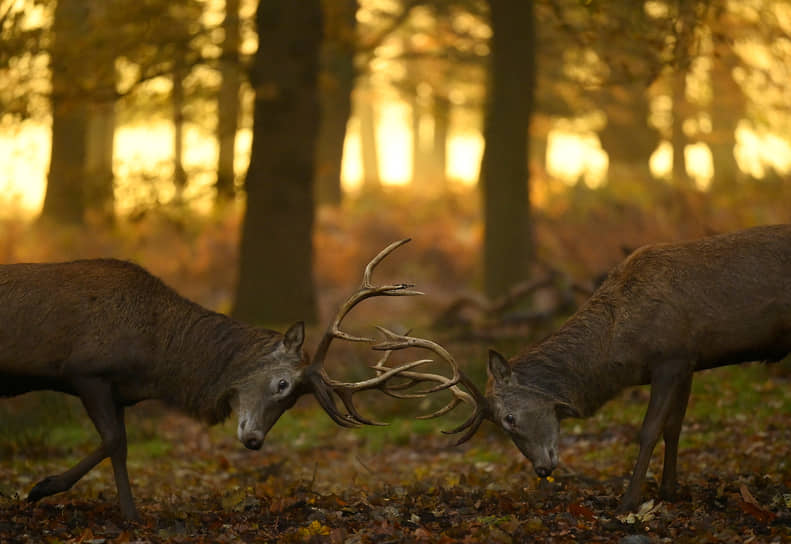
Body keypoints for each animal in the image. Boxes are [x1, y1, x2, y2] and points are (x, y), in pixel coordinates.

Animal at [0, 240, 458, 520]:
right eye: (283, 385)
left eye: (294, 401)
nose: (254, 440)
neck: (155, 362)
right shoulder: (86, 369)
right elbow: (115, 441)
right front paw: (50, 491)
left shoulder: (116, 391)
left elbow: (118, 443)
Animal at [374, 225, 791, 516]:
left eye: (509, 417)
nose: (542, 469)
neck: (620, 345)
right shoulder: (689, 361)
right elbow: (675, 427)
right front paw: (668, 491)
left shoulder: (670, 357)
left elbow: (649, 430)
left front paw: (628, 502)